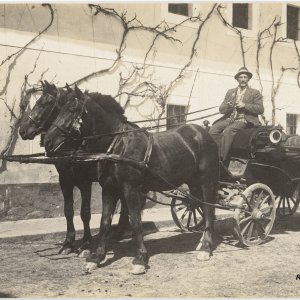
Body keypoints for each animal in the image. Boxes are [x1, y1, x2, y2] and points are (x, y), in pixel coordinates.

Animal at [18, 81, 130, 255]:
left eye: (45, 103)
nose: (22, 131)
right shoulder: (65, 180)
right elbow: (68, 211)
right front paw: (68, 243)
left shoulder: (85, 181)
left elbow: (85, 212)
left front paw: (86, 243)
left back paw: (120, 231)